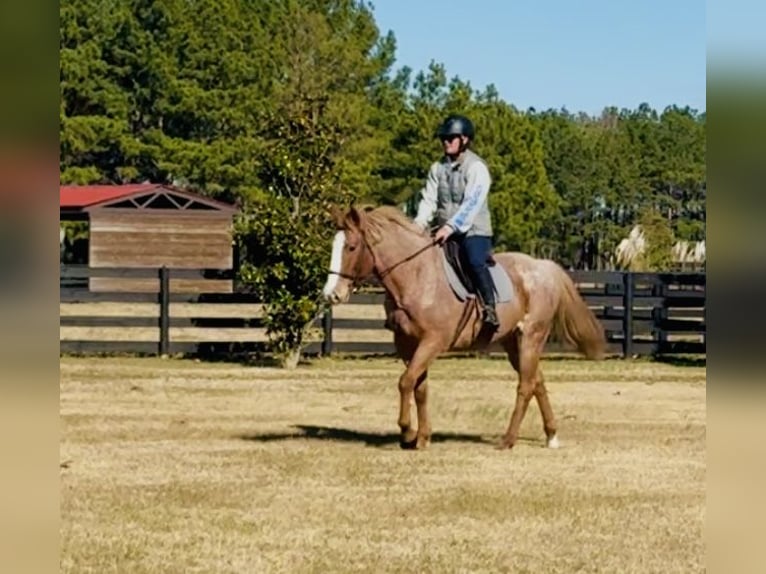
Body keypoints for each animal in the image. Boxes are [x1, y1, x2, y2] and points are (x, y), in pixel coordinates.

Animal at [322, 205, 606, 451]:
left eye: (351, 247)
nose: (331, 295)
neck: (416, 277)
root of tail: (543, 267)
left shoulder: (433, 342)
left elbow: (405, 382)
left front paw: (407, 433)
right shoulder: (407, 344)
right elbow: (419, 387)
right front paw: (422, 438)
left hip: (531, 337)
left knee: (525, 386)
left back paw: (508, 440)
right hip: (513, 342)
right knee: (537, 380)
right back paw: (551, 435)